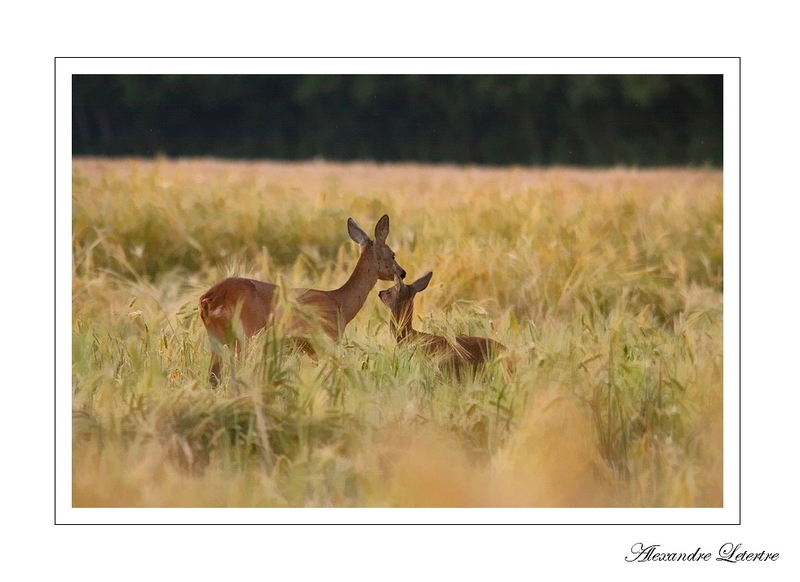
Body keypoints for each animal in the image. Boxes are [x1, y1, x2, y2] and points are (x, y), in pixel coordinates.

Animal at [197, 214, 404, 388]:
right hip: (245, 337)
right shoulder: (324, 343)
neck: (340, 303)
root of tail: (208, 299)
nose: (403, 272)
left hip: (217, 339)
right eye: (393, 254)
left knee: (214, 378)